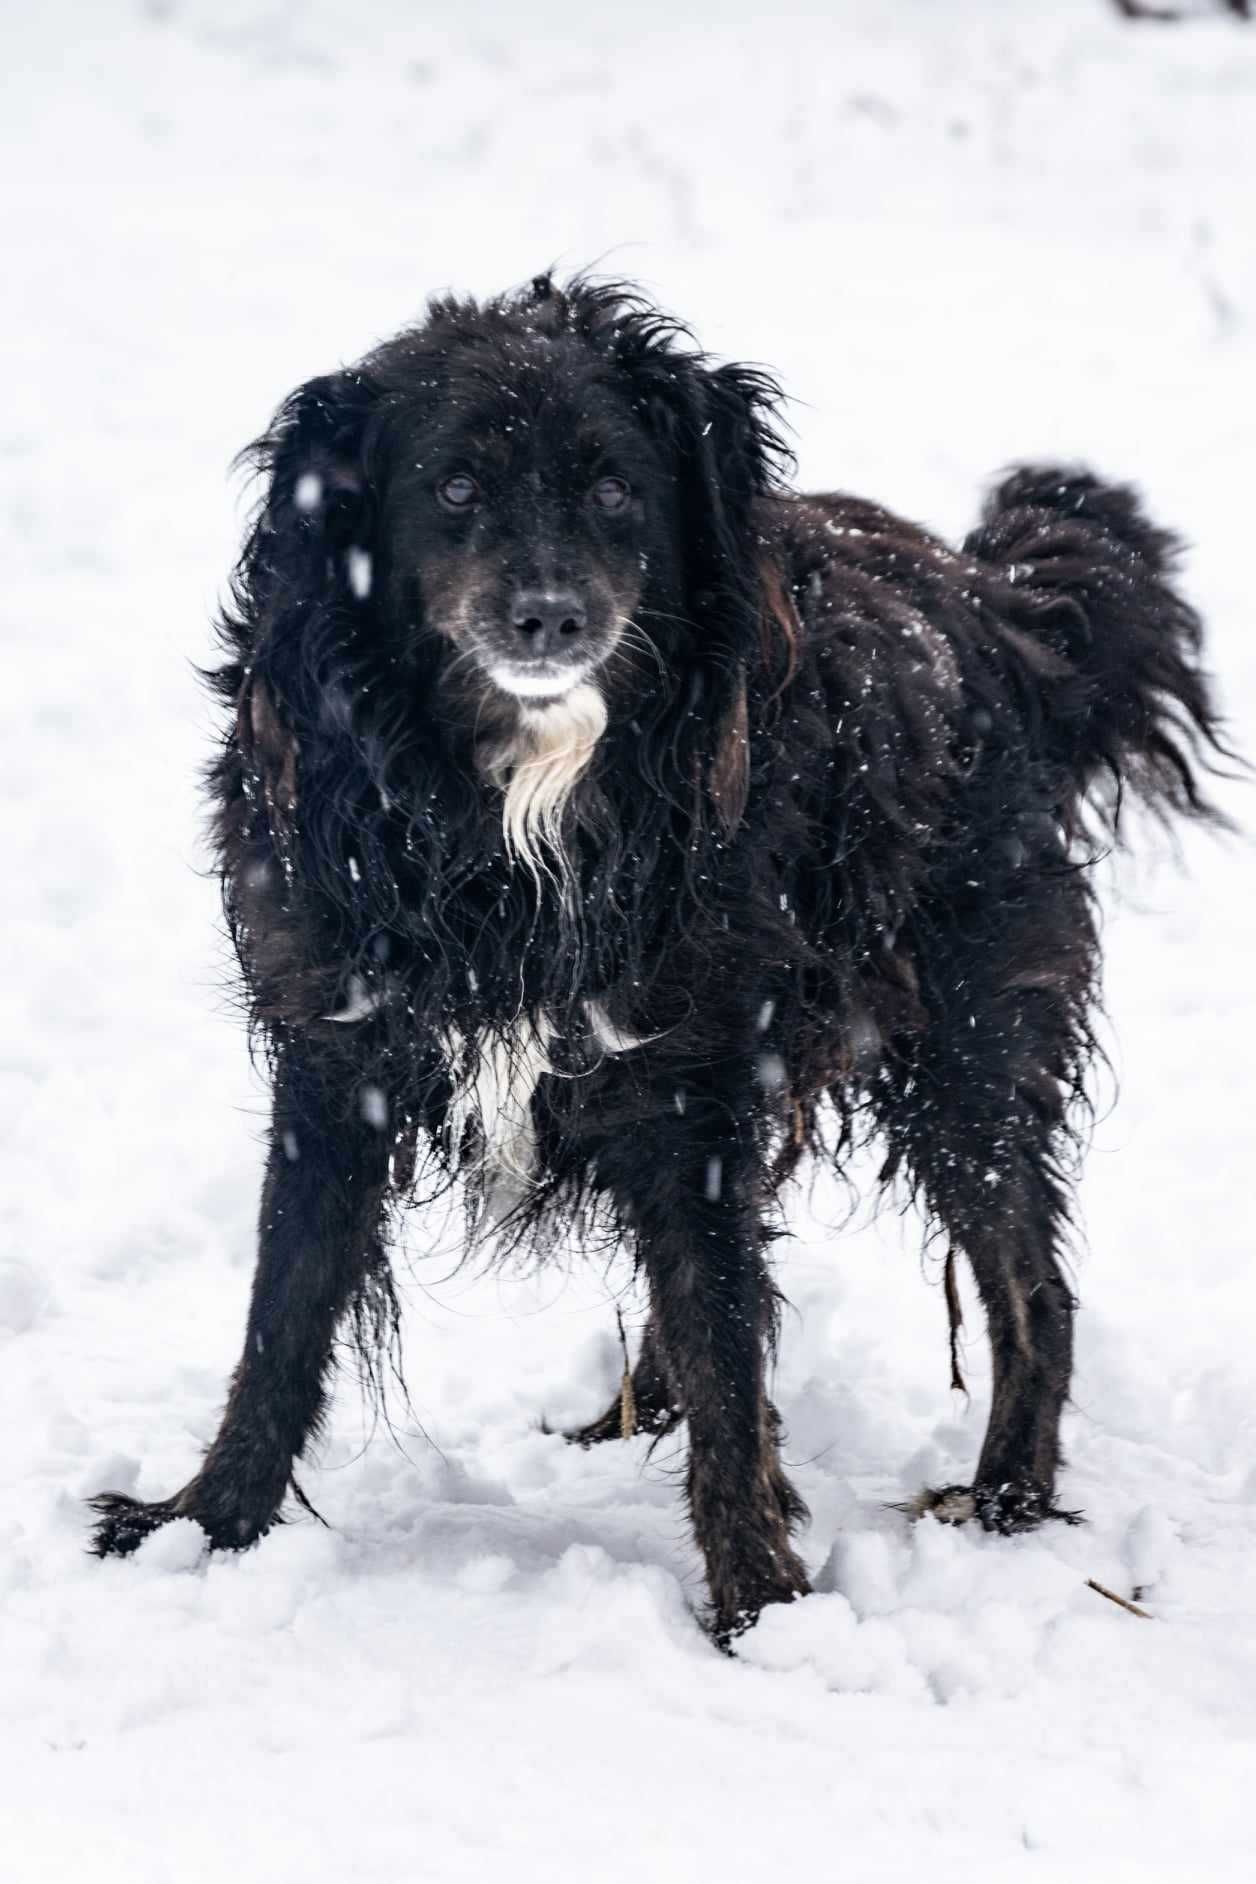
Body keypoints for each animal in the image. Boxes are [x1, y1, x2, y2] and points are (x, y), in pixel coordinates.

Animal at [90, 273, 1227, 1642]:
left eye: (615, 488)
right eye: (454, 487)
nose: (550, 614)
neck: (515, 813)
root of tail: (991, 606)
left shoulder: (693, 1080)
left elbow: (727, 1339)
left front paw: (762, 1608)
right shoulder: (336, 1059)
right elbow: (283, 1314)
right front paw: (198, 1529)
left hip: (961, 1048)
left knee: (1028, 1286)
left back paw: (1005, 1494)